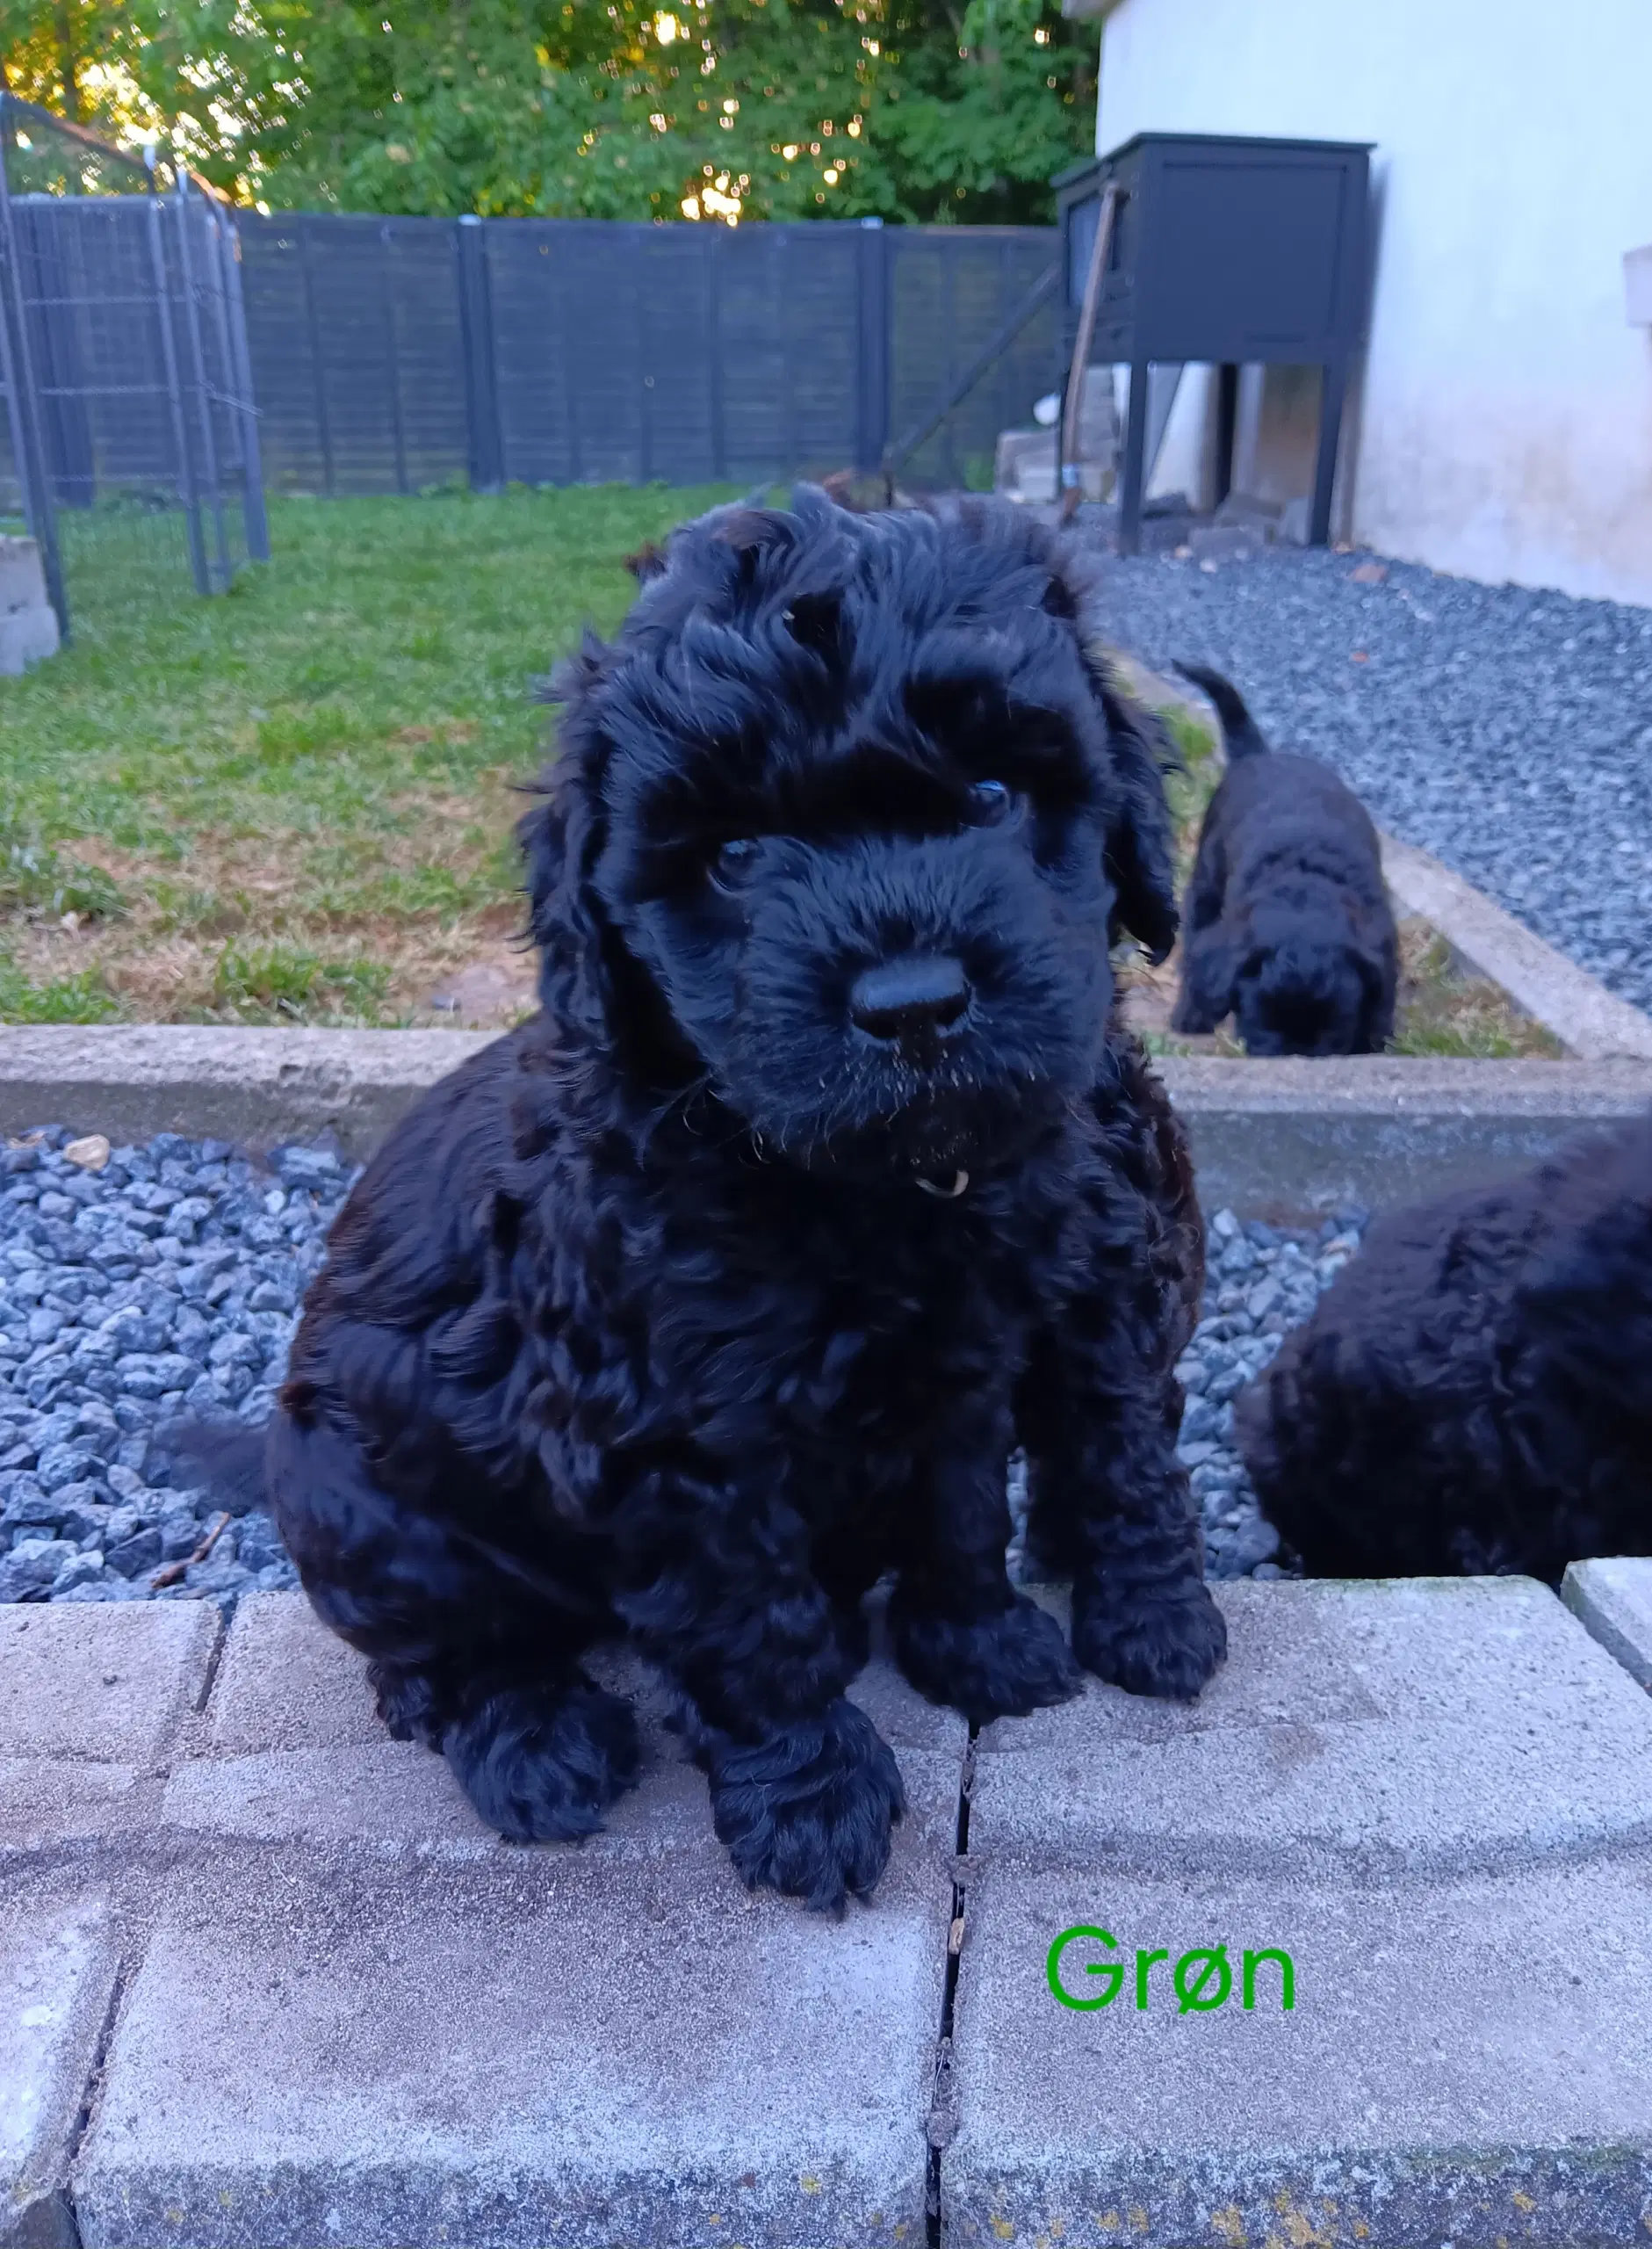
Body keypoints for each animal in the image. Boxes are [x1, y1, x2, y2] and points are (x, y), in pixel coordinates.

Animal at [177, 483, 1231, 1906]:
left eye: (995, 794)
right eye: (732, 856)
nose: (913, 1006)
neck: (850, 1182)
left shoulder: (982, 1347)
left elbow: (973, 1501)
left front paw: (980, 1644)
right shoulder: (673, 1439)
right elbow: (747, 1624)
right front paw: (814, 1798)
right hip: (370, 1510)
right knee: (440, 1660)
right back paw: (537, 1744)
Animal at [1168, 661, 1402, 1057]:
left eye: (1335, 1027)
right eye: (1262, 1021)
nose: (1295, 1055)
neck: (1303, 886)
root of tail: (1260, 755)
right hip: (1206, 879)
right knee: (1195, 940)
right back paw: (1190, 1013)